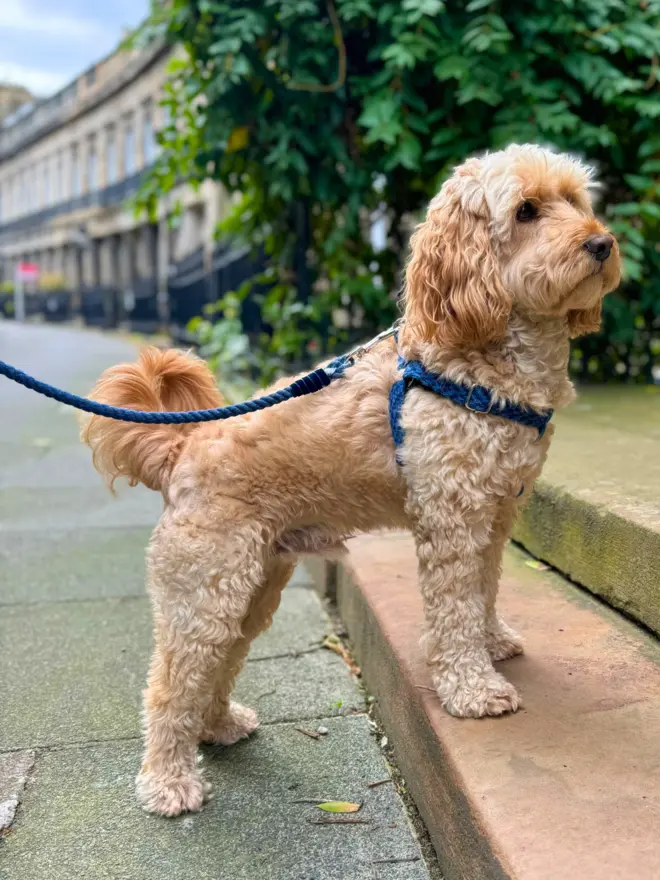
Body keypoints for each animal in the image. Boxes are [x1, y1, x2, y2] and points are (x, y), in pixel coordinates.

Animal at [81, 143, 620, 812]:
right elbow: (456, 607)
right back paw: (169, 781)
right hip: (205, 587)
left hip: (252, 585)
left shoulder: (495, 515)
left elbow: (486, 590)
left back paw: (220, 724)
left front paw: (492, 641)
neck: (478, 361)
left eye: (574, 199)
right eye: (525, 211)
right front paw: (472, 687)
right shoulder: (453, 517)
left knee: (218, 662)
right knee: (169, 682)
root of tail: (183, 444)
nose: (602, 243)